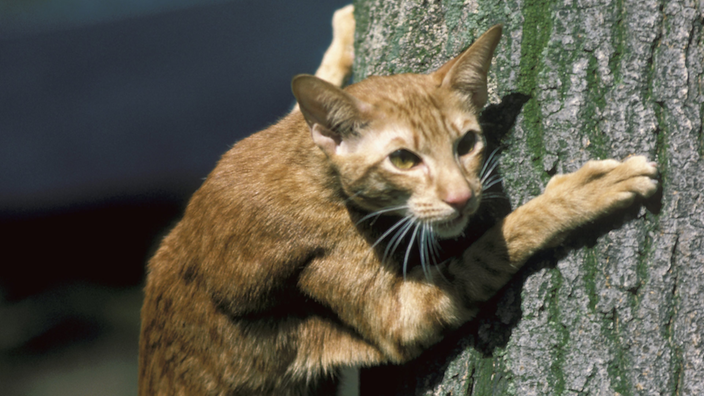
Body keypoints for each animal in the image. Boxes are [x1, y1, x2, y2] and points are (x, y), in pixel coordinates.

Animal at [139, 6, 660, 396]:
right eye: (404, 160)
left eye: (467, 143)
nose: (462, 197)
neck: (314, 169)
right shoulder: (398, 316)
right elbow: (496, 244)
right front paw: (584, 192)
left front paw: (341, 39)